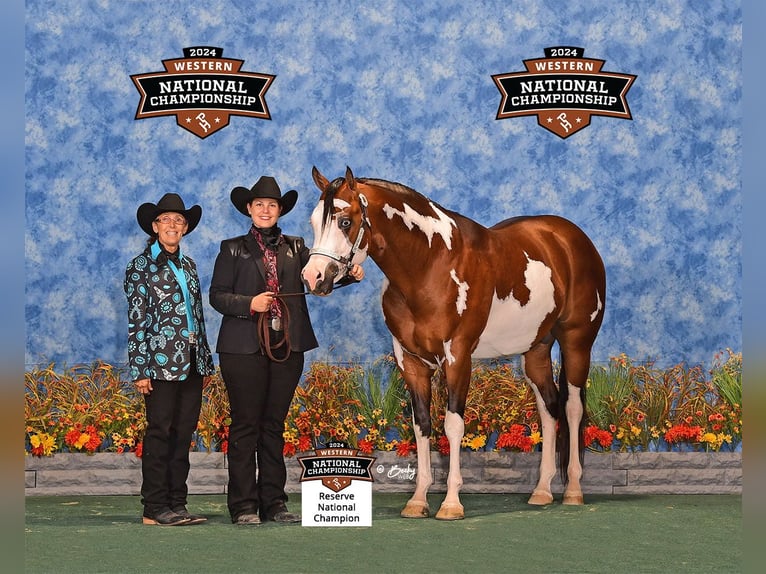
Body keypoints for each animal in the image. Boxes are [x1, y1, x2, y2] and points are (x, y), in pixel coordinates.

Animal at [301, 166, 606, 520]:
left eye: (345, 221)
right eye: (313, 222)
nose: (313, 277)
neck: (431, 265)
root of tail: (571, 238)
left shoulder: (457, 357)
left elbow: (453, 426)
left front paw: (450, 504)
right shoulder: (411, 362)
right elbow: (422, 426)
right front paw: (417, 501)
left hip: (577, 342)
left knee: (572, 408)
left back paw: (573, 491)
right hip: (536, 350)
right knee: (549, 408)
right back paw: (542, 491)